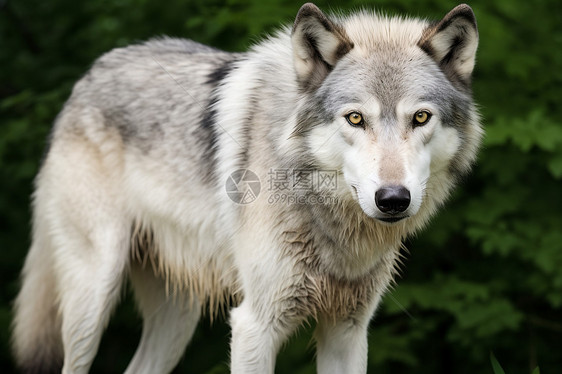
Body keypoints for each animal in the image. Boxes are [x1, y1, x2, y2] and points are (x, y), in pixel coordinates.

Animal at [10, 3, 480, 374]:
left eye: (420, 117)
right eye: (355, 118)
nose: (393, 199)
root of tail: (87, 77)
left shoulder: (348, 330)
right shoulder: (256, 324)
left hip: (177, 318)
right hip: (93, 295)